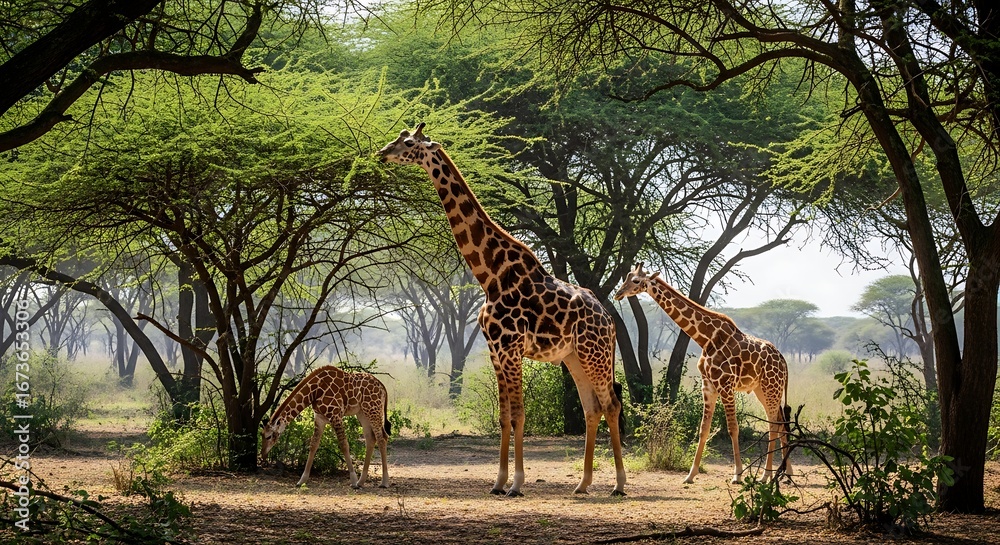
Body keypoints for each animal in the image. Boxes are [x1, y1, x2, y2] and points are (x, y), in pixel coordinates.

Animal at [260, 365, 391, 489]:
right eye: (262, 434)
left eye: (269, 436)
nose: (263, 454)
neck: (314, 391)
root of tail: (383, 387)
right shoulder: (319, 418)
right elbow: (313, 445)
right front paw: (302, 480)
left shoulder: (336, 416)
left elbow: (344, 445)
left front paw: (353, 481)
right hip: (362, 413)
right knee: (371, 439)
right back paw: (361, 482)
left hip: (373, 410)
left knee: (382, 438)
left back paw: (384, 482)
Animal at [378, 123, 626, 497]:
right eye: (398, 136)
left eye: (407, 143)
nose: (382, 153)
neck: (490, 275)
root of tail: (609, 320)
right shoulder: (495, 349)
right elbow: (503, 416)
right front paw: (498, 482)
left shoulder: (510, 348)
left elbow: (519, 414)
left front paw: (517, 483)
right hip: (573, 357)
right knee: (591, 408)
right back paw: (582, 485)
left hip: (593, 353)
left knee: (611, 403)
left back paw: (620, 485)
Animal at [613, 263, 791, 484]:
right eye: (626, 277)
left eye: (636, 281)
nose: (618, 293)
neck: (705, 338)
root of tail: (783, 361)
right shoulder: (709, 385)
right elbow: (703, 429)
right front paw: (690, 474)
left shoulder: (725, 385)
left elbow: (733, 428)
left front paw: (737, 474)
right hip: (763, 389)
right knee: (779, 422)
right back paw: (785, 473)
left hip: (771, 387)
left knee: (774, 424)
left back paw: (766, 475)